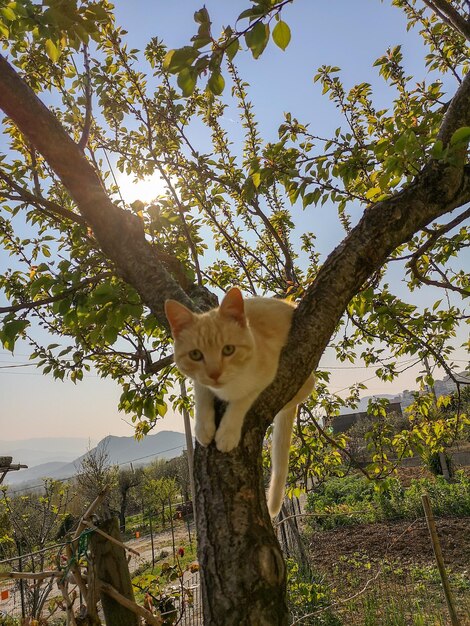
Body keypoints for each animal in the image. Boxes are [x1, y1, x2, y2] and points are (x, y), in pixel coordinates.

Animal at [163, 286, 314, 516]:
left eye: (228, 350)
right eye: (196, 355)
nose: (214, 374)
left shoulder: (268, 373)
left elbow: (243, 397)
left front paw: (227, 432)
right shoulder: (199, 381)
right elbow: (202, 393)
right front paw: (203, 428)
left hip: (307, 381)